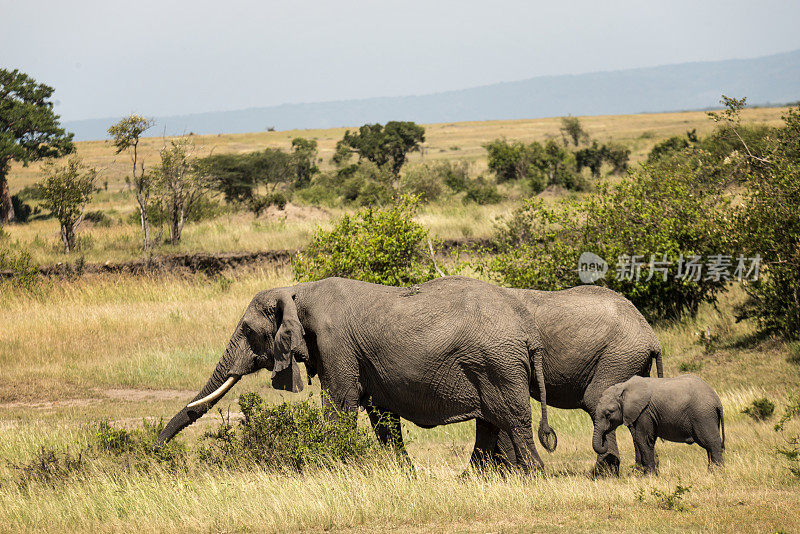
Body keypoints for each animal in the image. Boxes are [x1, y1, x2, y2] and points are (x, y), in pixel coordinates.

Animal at [155, 278, 556, 476]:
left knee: (513, 420)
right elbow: (382, 419)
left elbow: (340, 407)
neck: (298, 290)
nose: (155, 452)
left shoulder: (336, 345)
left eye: (249, 331)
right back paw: (480, 480)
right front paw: (403, 477)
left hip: (498, 364)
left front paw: (325, 471)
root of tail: (528, 330)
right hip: (493, 365)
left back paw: (533, 477)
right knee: (493, 422)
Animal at [488, 286, 664, 480]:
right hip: (633, 363)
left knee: (595, 399)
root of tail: (652, 338)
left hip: (620, 358)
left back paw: (602, 473)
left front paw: (509, 473)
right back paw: (642, 471)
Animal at [592, 374, 724, 476]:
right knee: (709, 447)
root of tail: (717, 401)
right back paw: (711, 473)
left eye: (608, 414)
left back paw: (717, 474)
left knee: (711, 443)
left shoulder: (644, 412)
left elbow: (643, 439)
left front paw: (649, 476)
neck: (623, 387)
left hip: (703, 415)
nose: (604, 438)